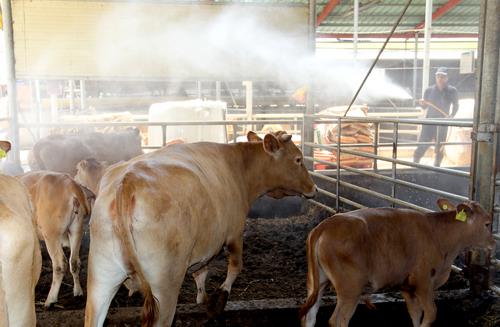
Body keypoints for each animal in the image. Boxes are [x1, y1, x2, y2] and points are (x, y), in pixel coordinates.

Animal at [18, 170, 94, 308]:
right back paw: (78, 292)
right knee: (74, 261)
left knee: (60, 264)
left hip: (51, 234)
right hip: (76, 228)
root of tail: (71, 185)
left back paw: (50, 300)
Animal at [84, 132, 314, 326]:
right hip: (164, 285)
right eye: (298, 159)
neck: (238, 167)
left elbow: (201, 273)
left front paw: (202, 298)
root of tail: (128, 181)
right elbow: (235, 266)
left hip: (101, 279)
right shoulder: (234, 232)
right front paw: (218, 301)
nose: (313, 187)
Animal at [298, 200, 494, 327]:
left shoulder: (407, 287)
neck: (437, 233)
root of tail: (324, 226)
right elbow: (430, 314)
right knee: (338, 321)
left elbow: (415, 315)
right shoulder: (423, 283)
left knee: (309, 317)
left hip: (317, 283)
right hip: (350, 289)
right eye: (487, 224)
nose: (493, 243)